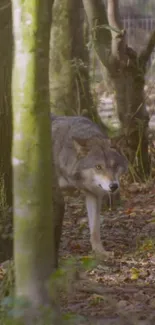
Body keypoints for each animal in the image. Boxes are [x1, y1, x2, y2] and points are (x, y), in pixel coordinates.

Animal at [51, 114, 128, 258]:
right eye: (98, 167)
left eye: (115, 165)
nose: (113, 186)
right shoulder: (55, 197)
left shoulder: (94, 195)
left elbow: (95, 229)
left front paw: (100, 252)